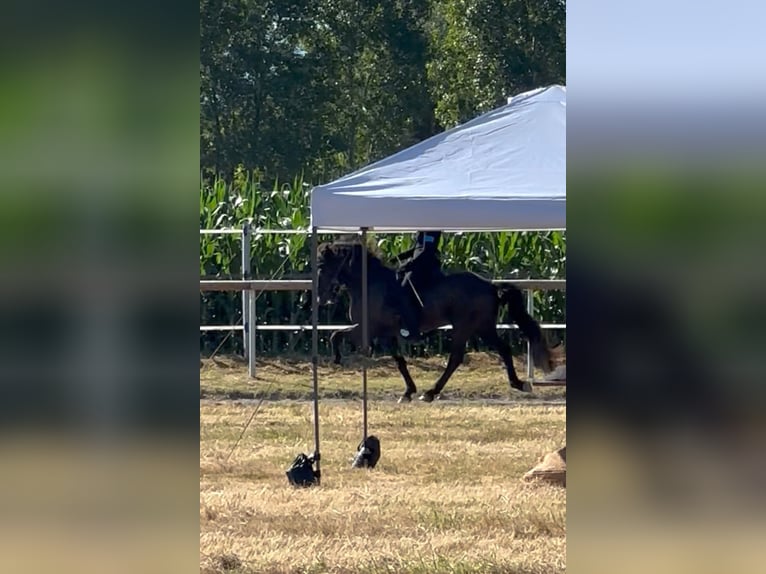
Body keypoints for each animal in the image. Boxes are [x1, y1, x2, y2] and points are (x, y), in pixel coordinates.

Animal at [315, 239, 553, 402]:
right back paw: (518, 383)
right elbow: (400, 361)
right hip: (483, 327)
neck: (368, 284)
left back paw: (431, 392)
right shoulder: (386, 334)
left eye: (321, 267)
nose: (321, 297)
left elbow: (335, 335)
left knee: (456, 357)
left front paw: (336, 358)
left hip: (465, 327)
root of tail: (490, 285)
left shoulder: (368, 329)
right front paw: (408, 392)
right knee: (503, 349)